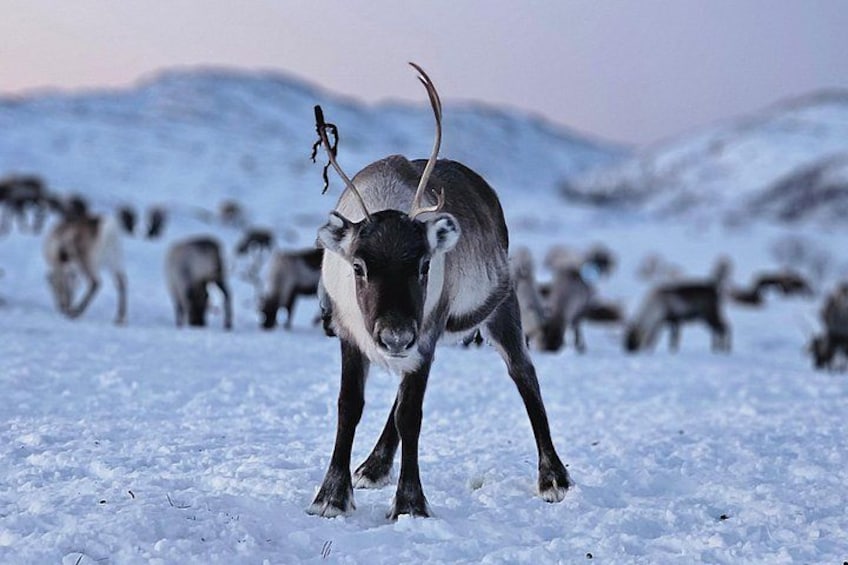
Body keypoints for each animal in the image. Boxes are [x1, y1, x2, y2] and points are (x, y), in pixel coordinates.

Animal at [306, 63, 570, 521]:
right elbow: (349, 406)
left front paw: (410, 503)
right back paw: (374, 465)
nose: (395, 336)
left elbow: (411, 415)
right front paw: (332, 495)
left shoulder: (426, 332)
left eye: (424, 265)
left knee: (525, 374)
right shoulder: (349, 332)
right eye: (358, 266)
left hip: (500, 308)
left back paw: (553, 476)